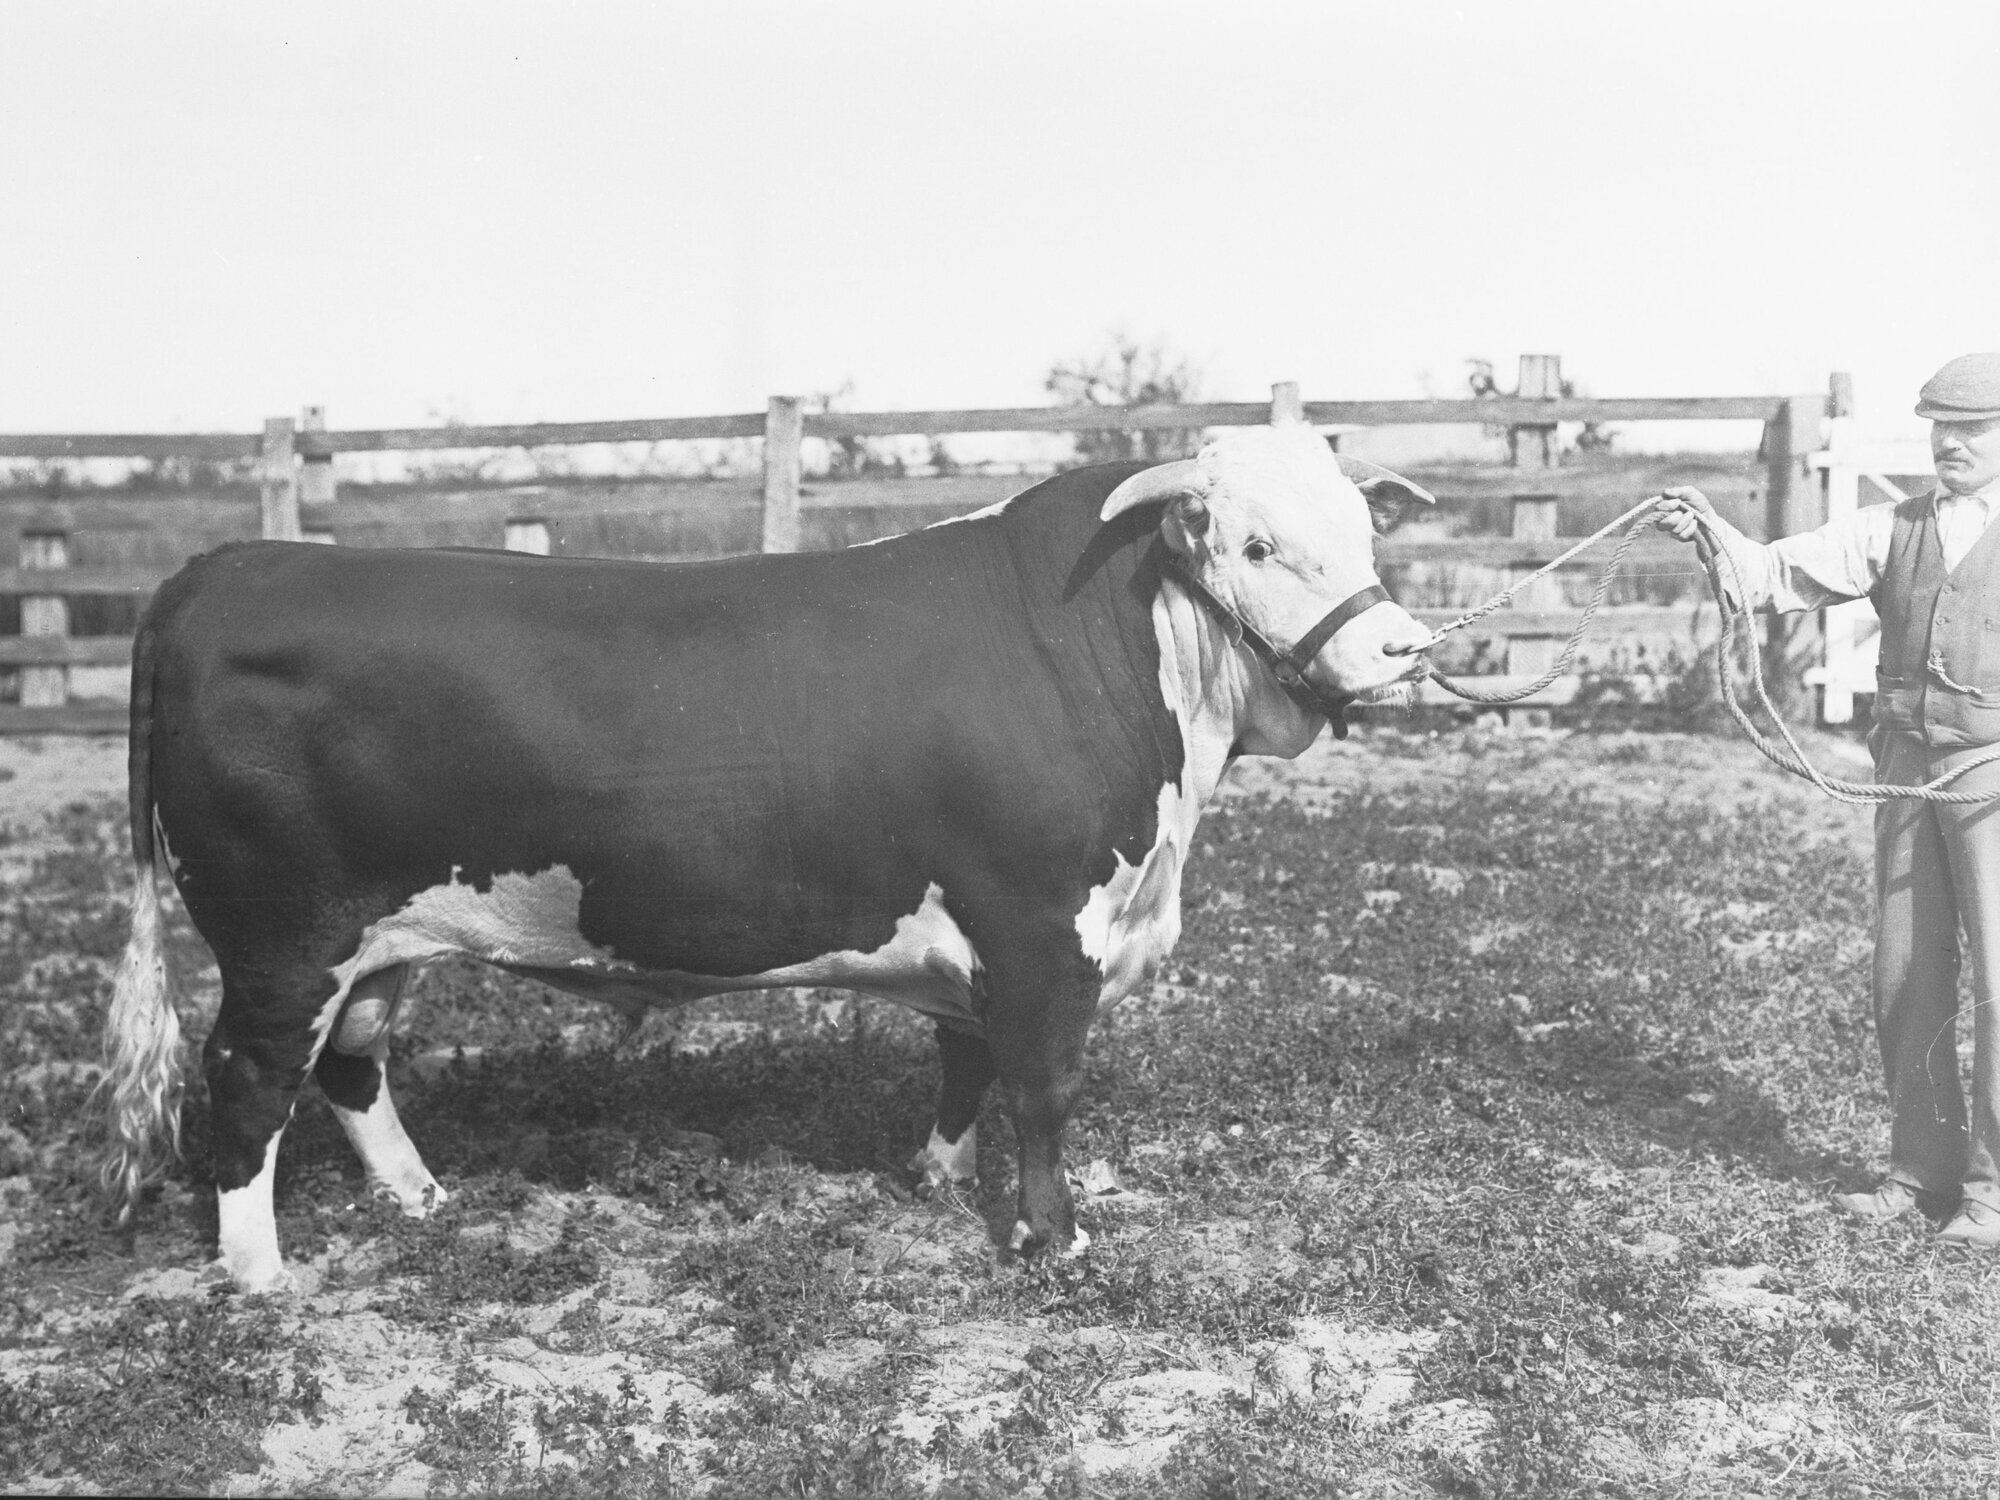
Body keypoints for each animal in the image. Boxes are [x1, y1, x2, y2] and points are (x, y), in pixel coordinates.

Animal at [99, 423, 1435, 1293]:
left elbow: (963, 1064)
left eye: (1363, 531)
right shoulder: (1042, 925)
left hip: (379, 935)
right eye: (1254, 546)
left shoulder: (975, 934)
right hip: (281, 937)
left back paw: (420, 1198)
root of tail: (224, 567)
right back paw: (261, 1275)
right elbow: (1042, 1088)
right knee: (247, 1077)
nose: (1402, 650)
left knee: (353, 1060)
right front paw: (1053, 1241)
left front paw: (934, 1177)